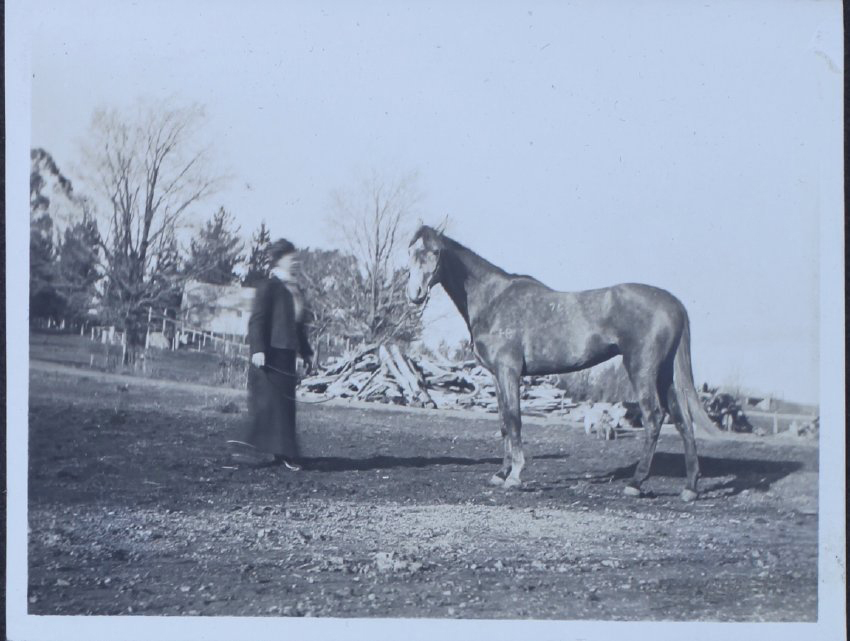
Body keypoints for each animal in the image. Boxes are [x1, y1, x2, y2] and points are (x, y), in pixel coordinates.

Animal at [406, 225, 722, 502]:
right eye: (410, 252)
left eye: (435, 252)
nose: (415, 294)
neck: (493, 300)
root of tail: (674, 304)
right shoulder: (497, 375)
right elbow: (504, 422)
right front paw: (501, 473)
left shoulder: (509, 371)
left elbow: (515, 419)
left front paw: (515, 476)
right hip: (665, 374)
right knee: (683, 420)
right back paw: (690, 488)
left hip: (642, 368)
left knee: (654, 418)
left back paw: (635, 483)